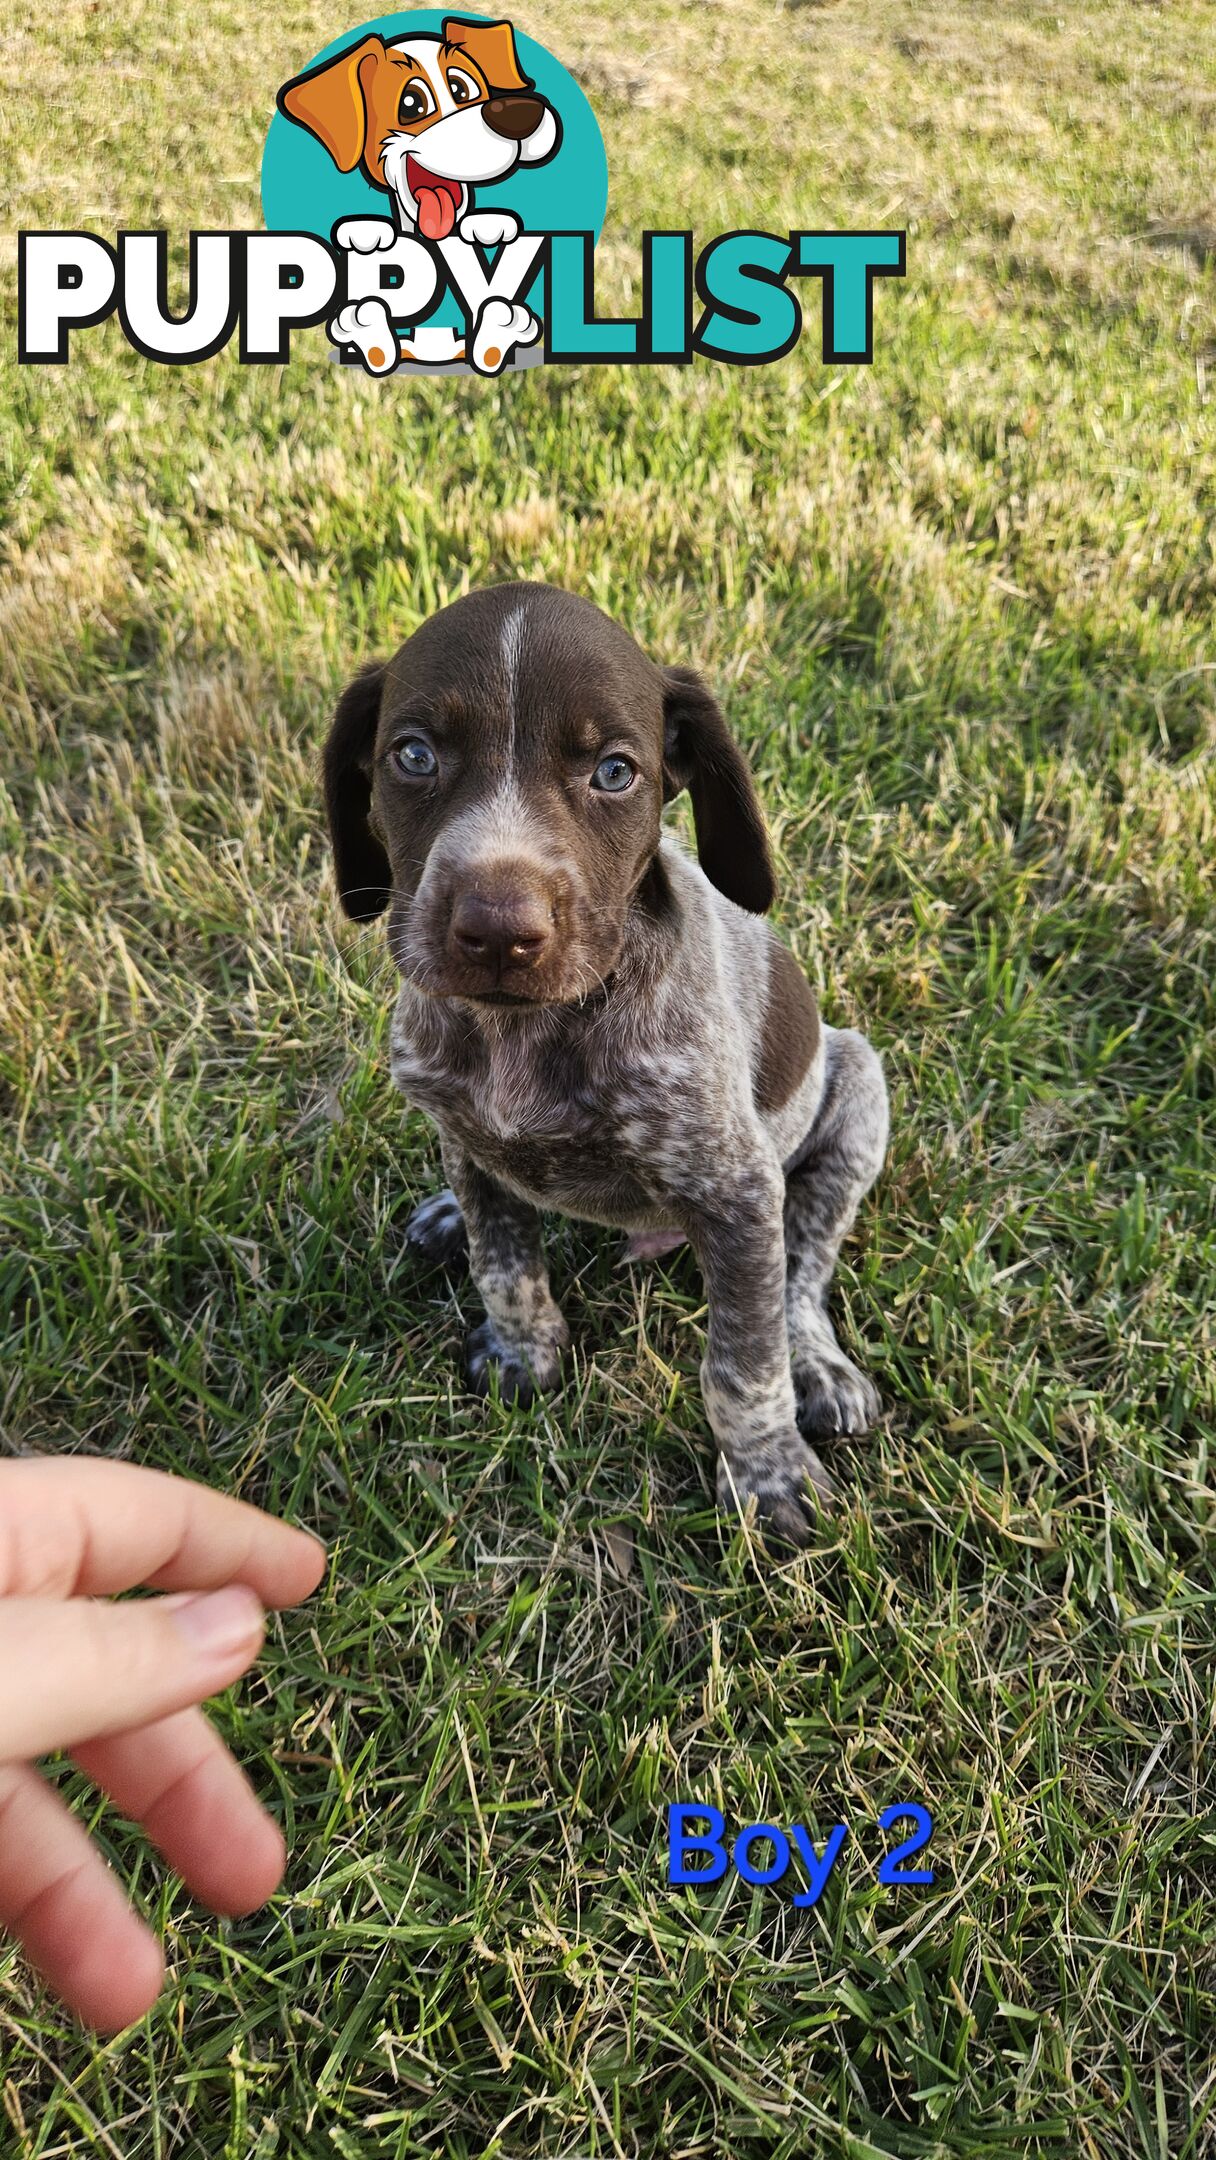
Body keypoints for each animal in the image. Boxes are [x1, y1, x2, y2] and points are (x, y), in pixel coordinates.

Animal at [328, 583, 889, 1546]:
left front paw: (766, 1473)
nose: (498, 932)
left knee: (804, 1272)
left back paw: (820, 1367)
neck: (528, 1032)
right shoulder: (466, 1133)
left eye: (615, 772)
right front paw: (524, 1352)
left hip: (856, 1089)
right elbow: (504, 1263)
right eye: (414, 755)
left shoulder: (738, 1190)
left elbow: (745, 1361)